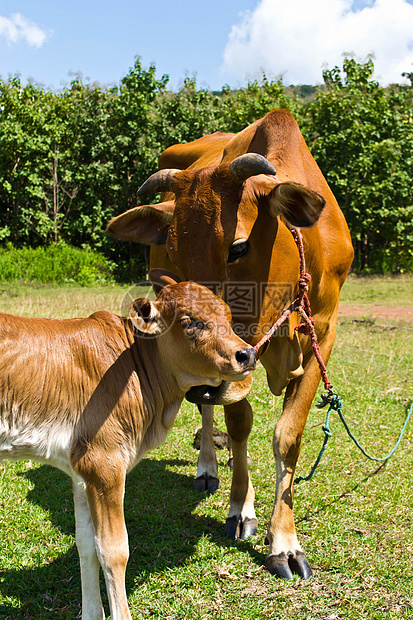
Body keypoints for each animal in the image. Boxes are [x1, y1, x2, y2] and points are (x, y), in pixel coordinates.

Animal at [0, 272, 254, 620]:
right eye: (189, 321)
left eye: (228, 317)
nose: (247, 354)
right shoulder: (104, 464)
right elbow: (113, 550)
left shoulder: (81, 471)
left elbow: (86, 544)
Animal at [108, 110, 352, 580]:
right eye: (173, 255)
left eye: (238, 247)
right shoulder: (232, 368)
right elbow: (239, 424)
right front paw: (242, 508)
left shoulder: (324, 334)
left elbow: (288, 436)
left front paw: (284, 541)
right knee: (207, 409)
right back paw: (208, 465)